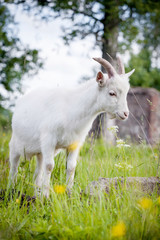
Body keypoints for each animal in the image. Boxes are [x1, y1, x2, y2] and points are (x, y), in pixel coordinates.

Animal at [8, 56, 134, 197]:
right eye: (112, 93)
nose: (125, 114)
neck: (71, 108)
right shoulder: (48, 140)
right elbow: (49, 166)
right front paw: (46, 195)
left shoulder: (75, 143)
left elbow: (71, 167)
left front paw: (69, 193)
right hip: (15, 145)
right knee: (14, 167)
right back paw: (11, 190)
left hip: (39, 151)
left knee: (38, 171)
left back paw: (36, 193)